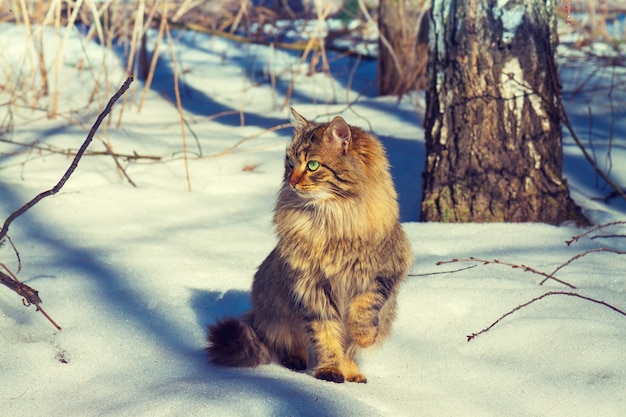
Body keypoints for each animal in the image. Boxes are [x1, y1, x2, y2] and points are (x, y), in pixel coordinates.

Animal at [205, 108, 412, 384]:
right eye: (290, 163)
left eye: (312, 165)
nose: (291, 181)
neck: (330, 221)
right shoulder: (311, 289)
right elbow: (326, 337)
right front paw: (329, 371)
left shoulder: (384, 273)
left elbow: (363, 311)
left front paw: (363, 339)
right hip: (277, 309)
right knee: (289, 341)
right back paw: (296, 361)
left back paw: (354, 372)